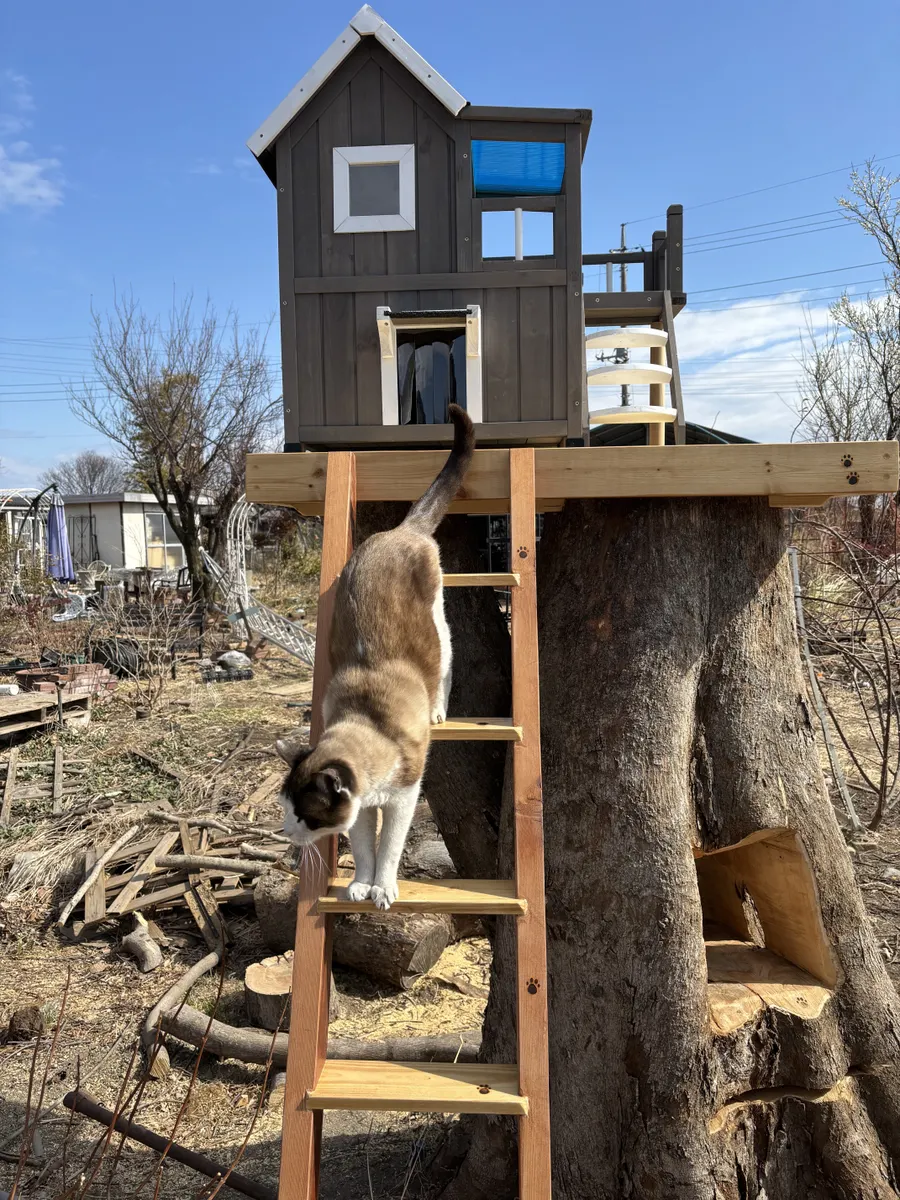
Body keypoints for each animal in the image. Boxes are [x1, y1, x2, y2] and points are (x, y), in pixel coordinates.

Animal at [277, 403, 475, 910]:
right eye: (284, 810)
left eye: (306, 818)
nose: (286, 833)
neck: (369, 724)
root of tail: (402, 530)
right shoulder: (363, 809)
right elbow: (364, 847)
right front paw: (359, 886)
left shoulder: (403, 799)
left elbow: (389, 848)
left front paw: (383, 889)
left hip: (441, 623)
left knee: (447, 665)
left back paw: (440, 711)